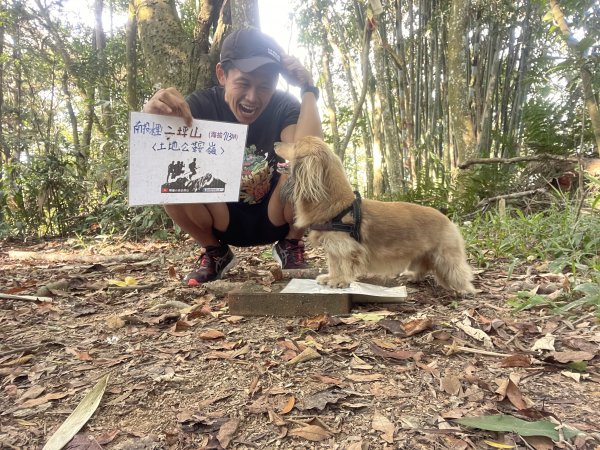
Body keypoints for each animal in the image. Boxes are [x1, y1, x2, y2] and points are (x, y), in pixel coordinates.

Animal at [278, 135, 478, 294]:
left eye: (295, 144)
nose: (275, 142)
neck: (338, 206)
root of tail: (447, 218)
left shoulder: (347, 248)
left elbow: (344, 265)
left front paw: (341, 280)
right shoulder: (333, 247)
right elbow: (334, 264)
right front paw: (331, 277)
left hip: (446, 256)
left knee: (458, 271)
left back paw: (465, 289)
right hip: (422, 255)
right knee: (423, 267)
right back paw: (413, 276)